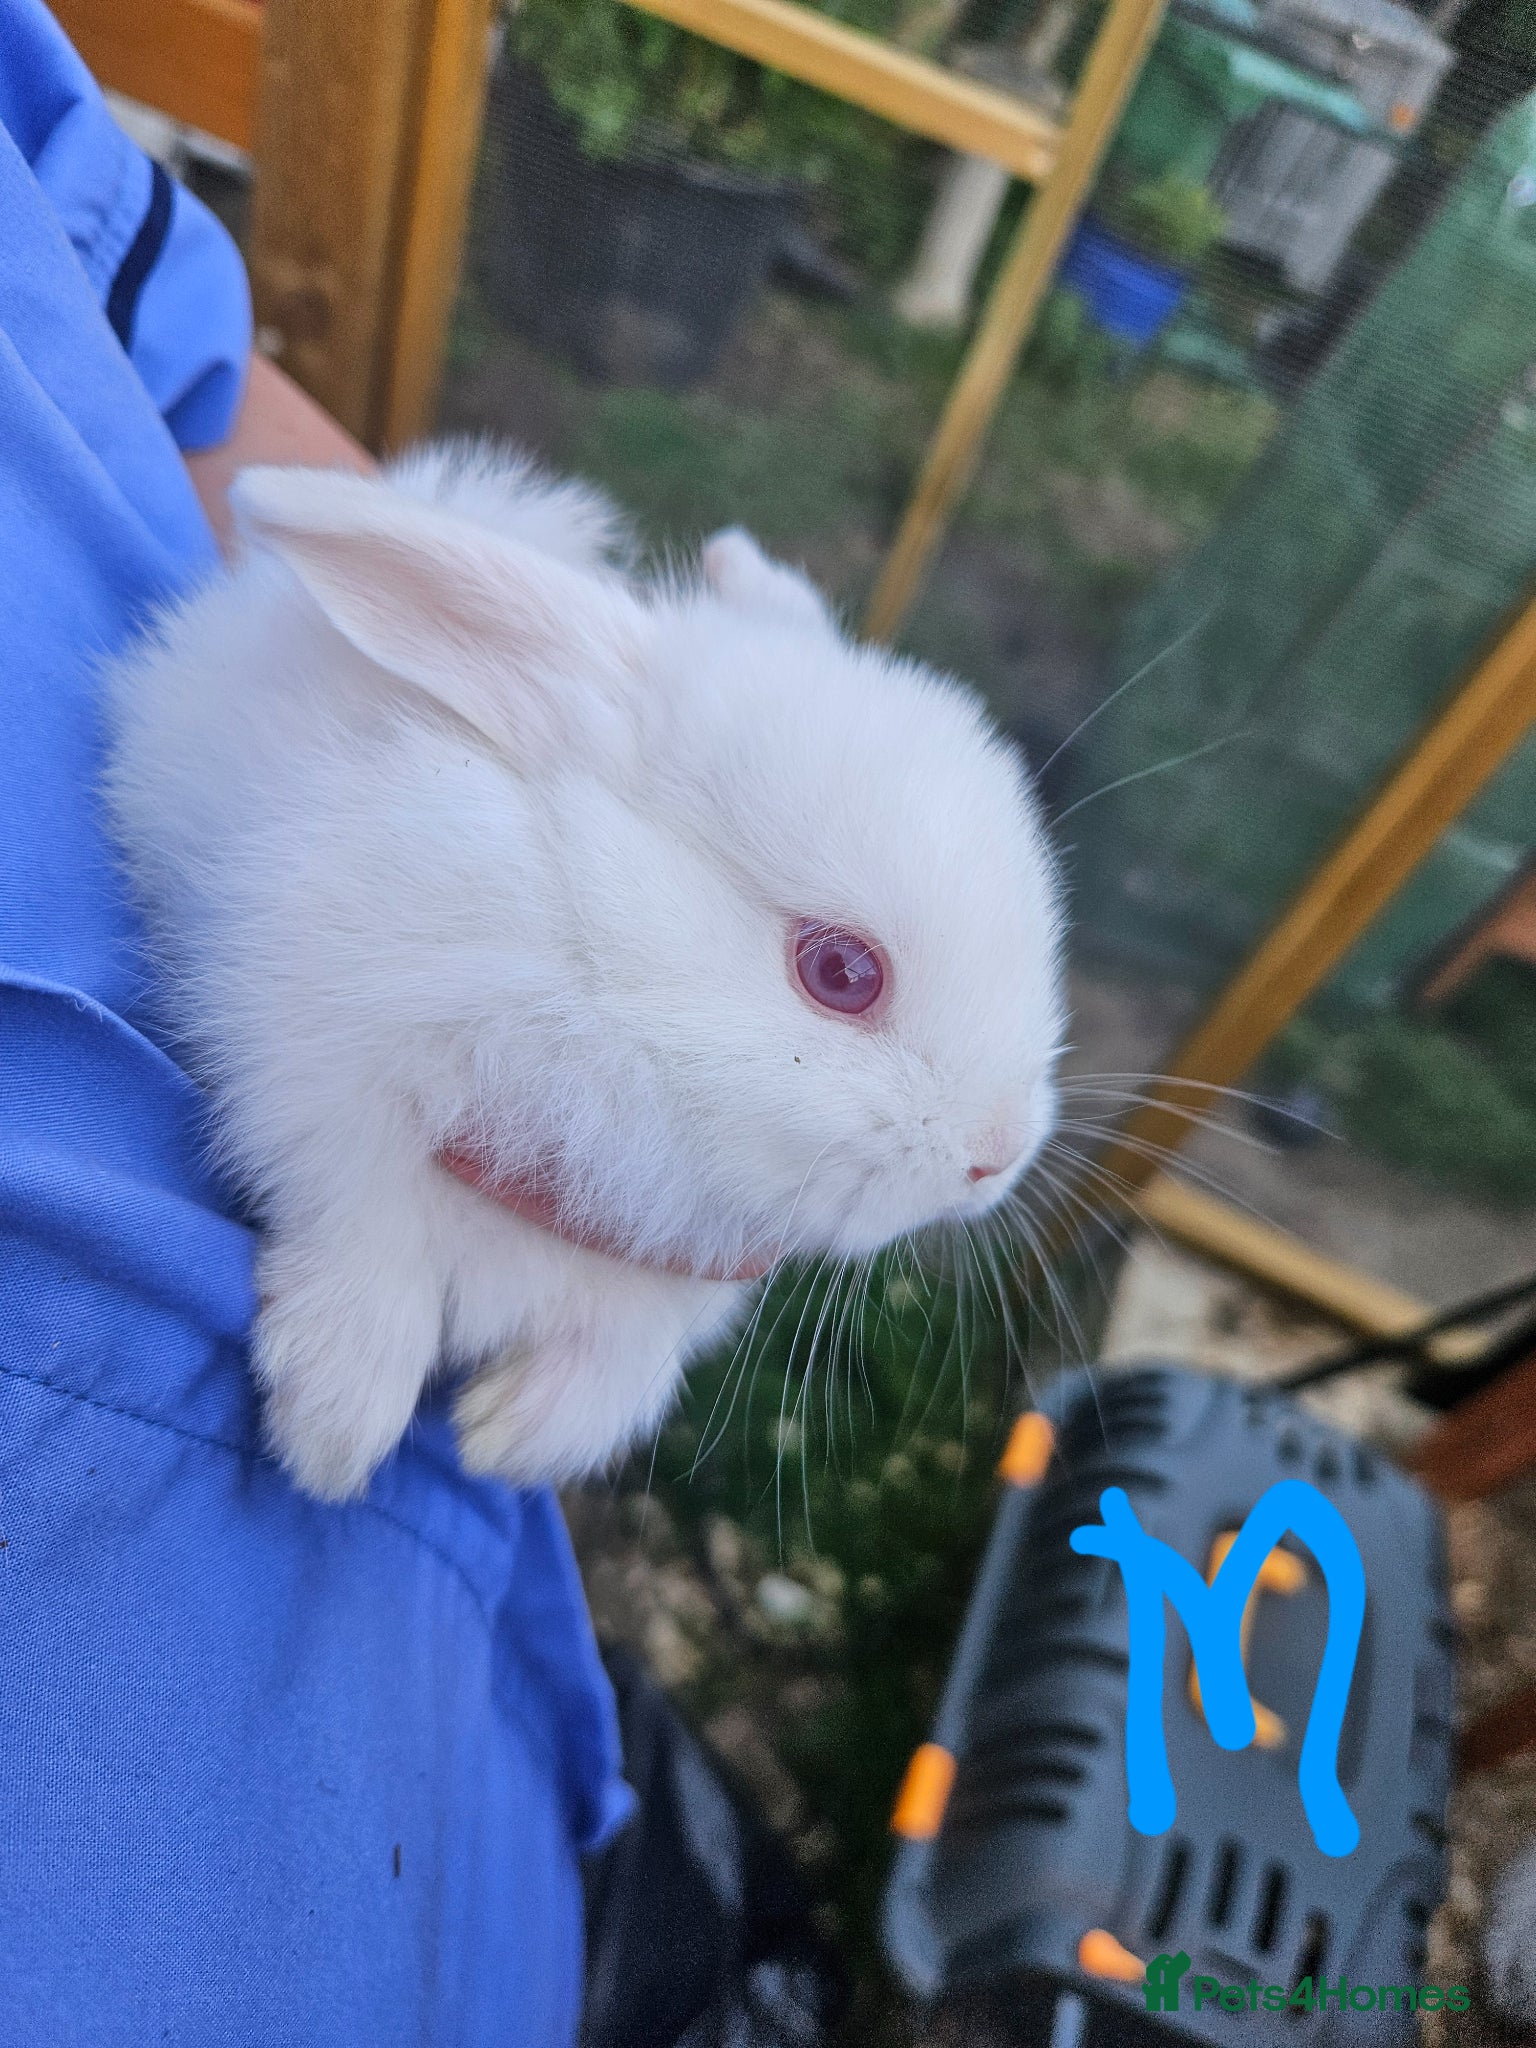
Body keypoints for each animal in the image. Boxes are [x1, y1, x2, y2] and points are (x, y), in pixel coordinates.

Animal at [103, 439, 1065, 1502]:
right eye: (843, 973)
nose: (994, 1158)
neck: (602, 978)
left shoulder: (675, 1276)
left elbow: (626, 1358)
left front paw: (513, 1438)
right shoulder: (312, 1066)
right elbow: (365, 1229)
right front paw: (334, 1427)